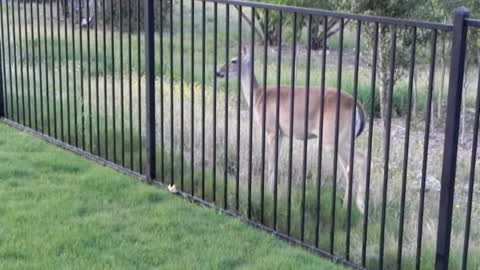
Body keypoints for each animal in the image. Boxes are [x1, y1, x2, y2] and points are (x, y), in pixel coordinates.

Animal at [217, 46, 368, 215]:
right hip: (344, 138)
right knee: (352, 166)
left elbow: (271, 163)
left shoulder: (271, 129)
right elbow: (276, 162)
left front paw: (268, 192)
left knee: (359, 160)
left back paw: (357, 206)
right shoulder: (282, 133)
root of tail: (358, 107)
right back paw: (349, 206)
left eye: (234, 60)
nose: (218, 71)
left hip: (334, 138)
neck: (258, 97)